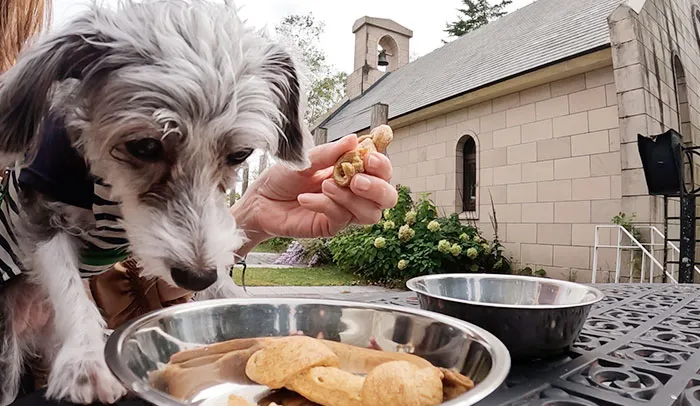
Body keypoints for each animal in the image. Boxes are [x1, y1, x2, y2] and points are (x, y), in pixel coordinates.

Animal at [0, 1, 314, 404]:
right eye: (144, 146)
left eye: (240, 154)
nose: (196, 276)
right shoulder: (39, 208)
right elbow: (69, 287)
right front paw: (86, 358)